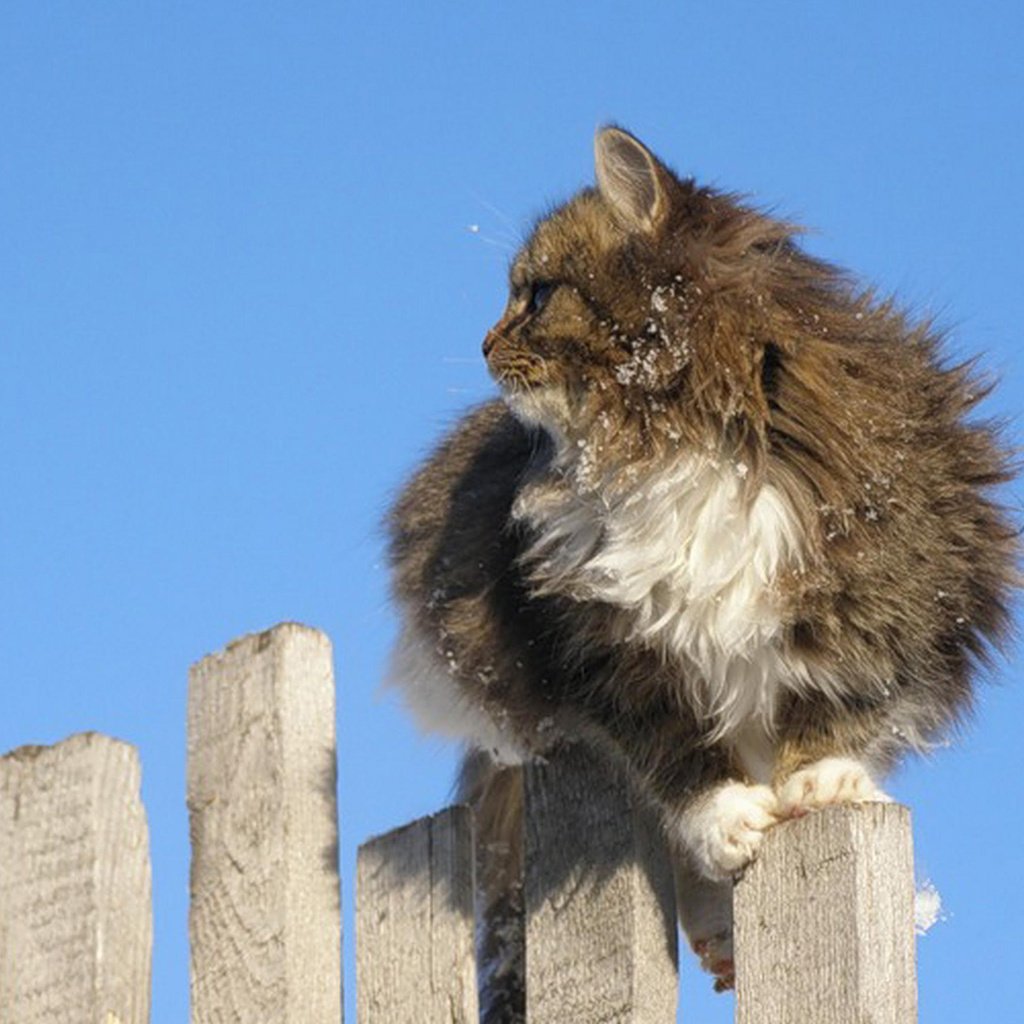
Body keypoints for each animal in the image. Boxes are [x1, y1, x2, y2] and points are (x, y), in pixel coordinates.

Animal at [385, 123, 1015, 1003]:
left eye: (536, 297)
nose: (483, 344)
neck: (679, 438)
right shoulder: (604, 645)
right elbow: (677, 757)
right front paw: (729, 821)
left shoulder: (898, 582)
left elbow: (843, 703)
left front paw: (822, 780)